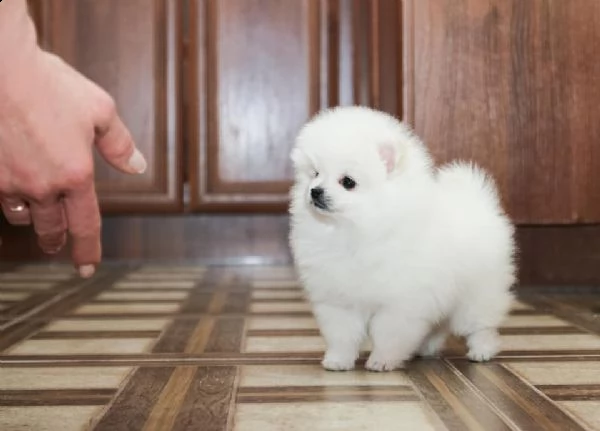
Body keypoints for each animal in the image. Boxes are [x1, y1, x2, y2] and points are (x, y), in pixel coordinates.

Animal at [288, 106, 512, 372]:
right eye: (315, 173)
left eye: (348, 182)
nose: (315, 191)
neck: (354, 231)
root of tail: (476, 202)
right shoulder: (339, 300)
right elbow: (342, 334)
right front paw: (338, 360)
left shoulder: (400, 302)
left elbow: (388, 334)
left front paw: (382, 360)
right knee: (438, 323)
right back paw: (427, 348)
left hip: (476, 293)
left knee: (479, 325)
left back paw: (482, 350)